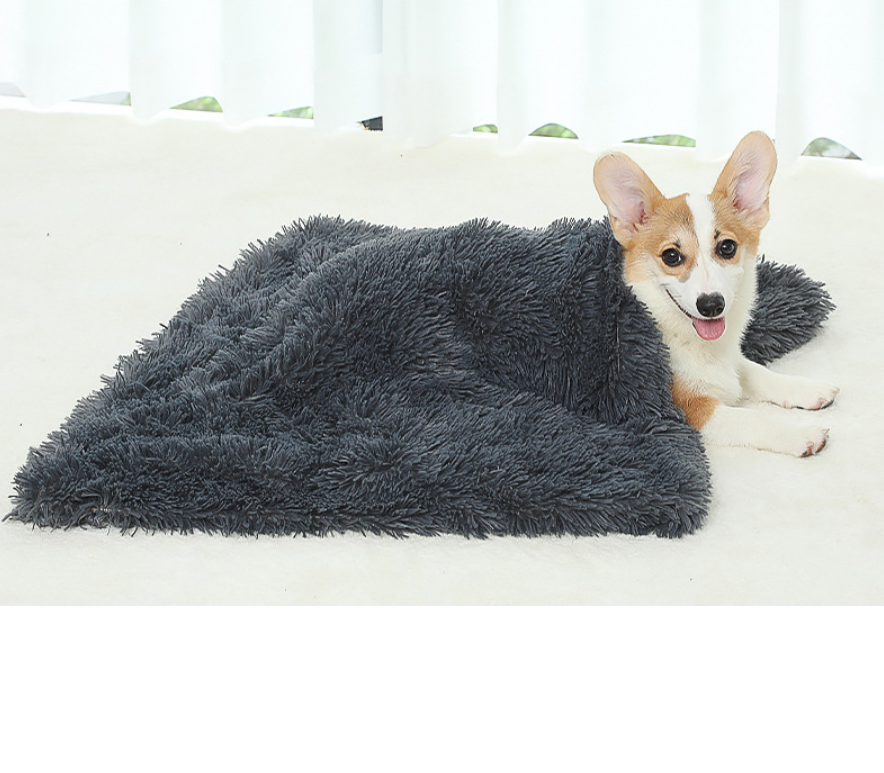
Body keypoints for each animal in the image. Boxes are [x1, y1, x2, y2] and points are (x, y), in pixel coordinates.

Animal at [592, 133, 836, 456]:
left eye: (727, 248)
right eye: (671, 256)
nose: (711, 305)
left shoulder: (734, 362)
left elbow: (757, 372)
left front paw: (807, 389)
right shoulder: (690, 409)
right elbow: (752, 419)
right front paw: (799, 433)